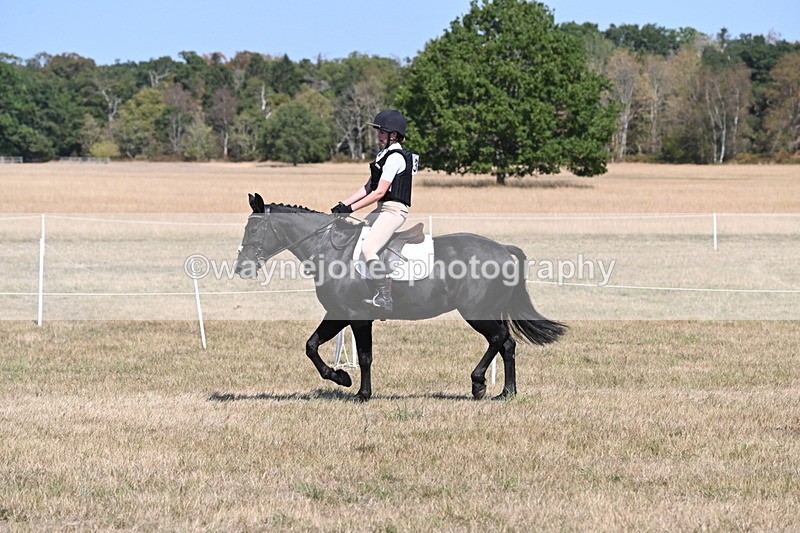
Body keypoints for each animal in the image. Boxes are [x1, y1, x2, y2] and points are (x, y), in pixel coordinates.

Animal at [234, 193, 566, 402]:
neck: (329, 249)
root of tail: (502, 250)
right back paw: (507, 392)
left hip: (476, 312)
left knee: (498, 339)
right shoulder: (338, 314)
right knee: (507, 343)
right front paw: (341, 377)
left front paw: (359, 392)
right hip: (488, 311)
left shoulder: (357, 316)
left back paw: (478, 384)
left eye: (253, 227)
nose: (241, 267)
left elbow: (363, 356)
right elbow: (312, 345)